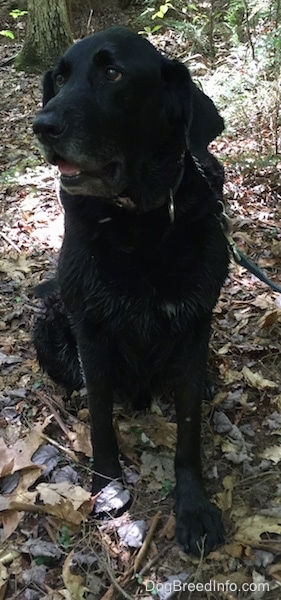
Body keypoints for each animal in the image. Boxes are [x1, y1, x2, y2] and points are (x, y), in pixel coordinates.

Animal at [33, 25, 230, 556]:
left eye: (112, 72)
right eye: (60, 78)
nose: (42, 125)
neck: (140, 221)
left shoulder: (194, 322)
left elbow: (188, 430)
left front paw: (194, 506)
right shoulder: (92, 329)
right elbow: (101, 418)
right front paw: (107, 487)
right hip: (48, 325)